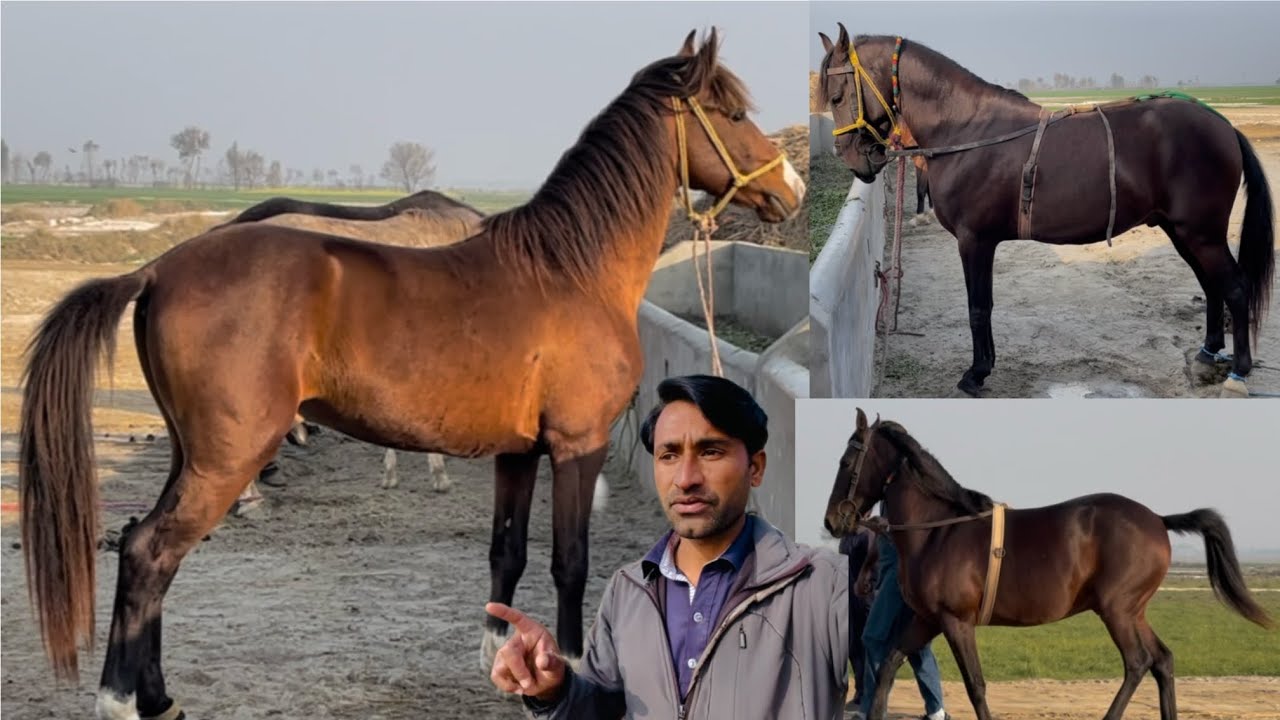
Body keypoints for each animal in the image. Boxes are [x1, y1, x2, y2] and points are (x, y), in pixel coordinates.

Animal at [19, 29, 804, 720]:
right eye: (734, 114)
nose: (791, 187)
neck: (570, 271)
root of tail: (158, 269)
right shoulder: (576, 446)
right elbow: (571, 560)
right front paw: (574, 669)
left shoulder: (518, 452)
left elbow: (507, 552)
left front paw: (505, 664)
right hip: (226, 458)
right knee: (150, 553)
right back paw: (123, 701)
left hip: (193, 452)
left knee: (147, 551)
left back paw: (158, 697)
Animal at [818, 25, 1274, 396]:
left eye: (838, 95)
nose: (853, 160)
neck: (969, 129)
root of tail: (1224, 126)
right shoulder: (981, 242)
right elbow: (985, 305)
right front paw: (986, 365)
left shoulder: (974, 241)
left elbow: (978, 307)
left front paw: (976, 373)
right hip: (1182, 232)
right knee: (1212, 286)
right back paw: (1208, 353)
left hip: (1201, 233)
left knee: (1235, 288)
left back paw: (1239, 370)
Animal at [822, 408, 1273, 720]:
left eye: (846, 462)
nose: (832, 520)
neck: (938, 531)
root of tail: (1158, 519)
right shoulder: (928, 619)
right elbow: (888, 666)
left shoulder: (956, 620)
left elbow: (976, 685)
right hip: (1134, 610)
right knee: (1162, 660)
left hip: (1117, 609)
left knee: (1138, 662)